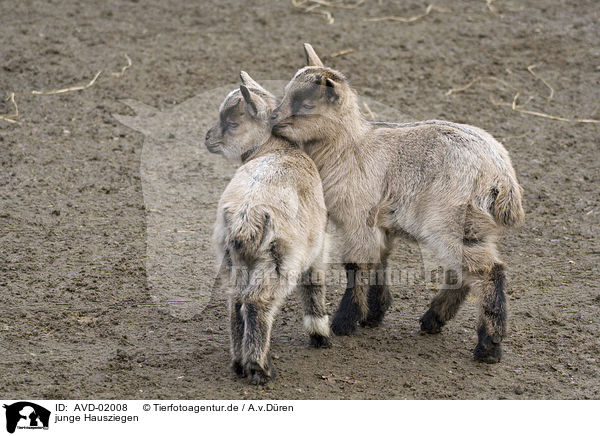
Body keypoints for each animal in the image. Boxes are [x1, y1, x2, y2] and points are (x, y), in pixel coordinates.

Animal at [205, 72, 328, 384]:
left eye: (232, 122)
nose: (207, 139)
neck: (278, 149)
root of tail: (246, 217)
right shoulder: (318, 248)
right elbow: (314, 284)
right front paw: (320, 334)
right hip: (277, 260)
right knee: (257, 302)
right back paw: (259, 368)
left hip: (233, 258)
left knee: (236, 301)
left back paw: (239, 363)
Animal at [270, 43, 524, 364]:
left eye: (305, 105)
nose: (272, 120)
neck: (348, 147)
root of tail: (502, 175)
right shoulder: (380, 221)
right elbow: (380, 261)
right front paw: (373, 315)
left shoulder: (358, 216)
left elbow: (357, 265)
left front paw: (344, 322)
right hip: (474, 225)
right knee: (465, 272)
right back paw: (433, 319)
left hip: (449, 219)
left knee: (489, 272)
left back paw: (488, 346)